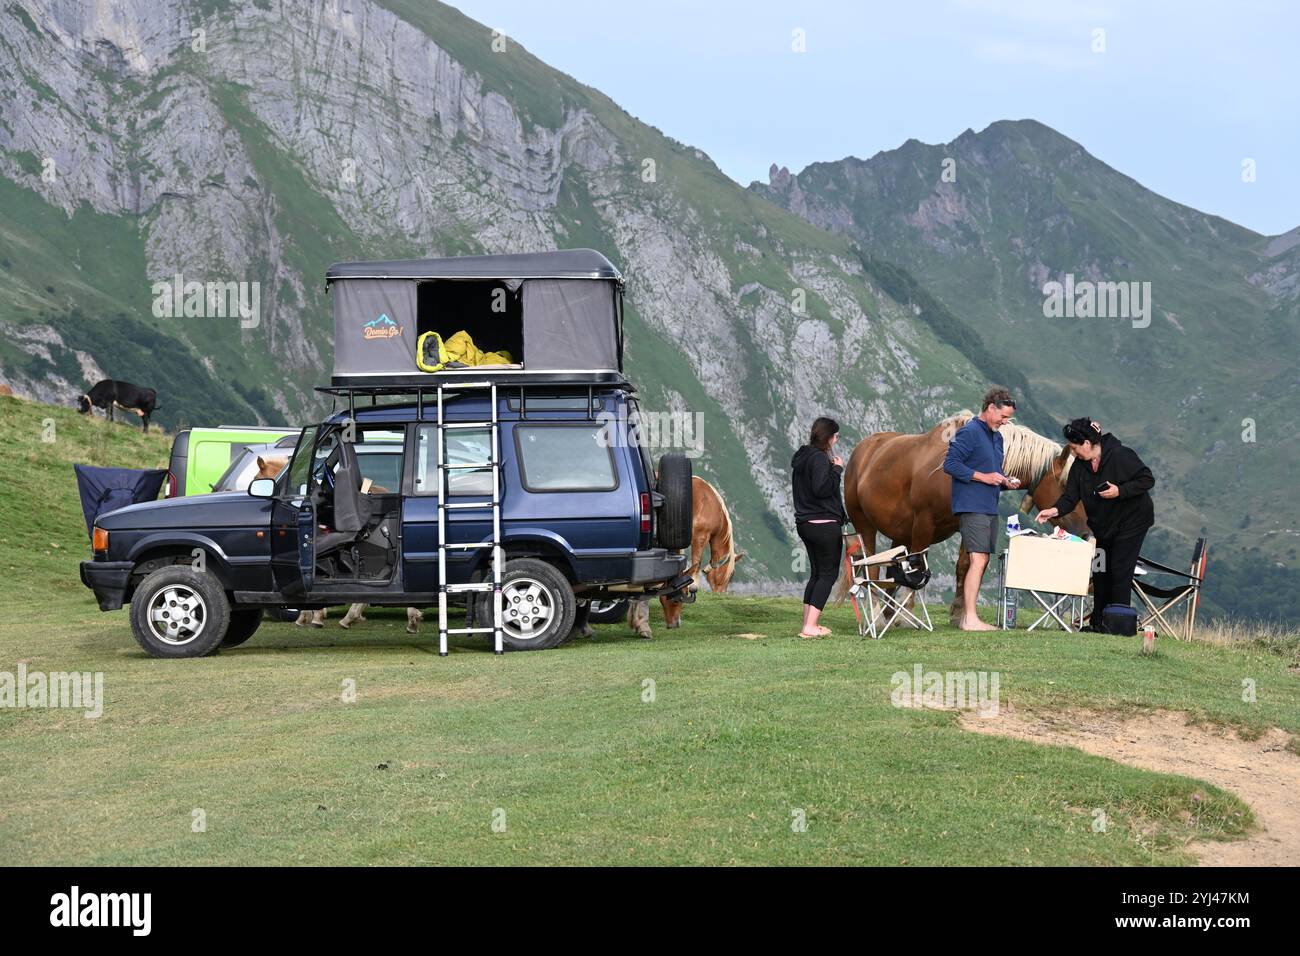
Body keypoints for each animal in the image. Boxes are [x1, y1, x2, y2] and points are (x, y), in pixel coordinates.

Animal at [626, 476, 743, 634]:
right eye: (731, 576)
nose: (721, 594)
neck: (712, 504)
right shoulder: (699, 537)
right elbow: (696, 562)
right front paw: (693, 584)